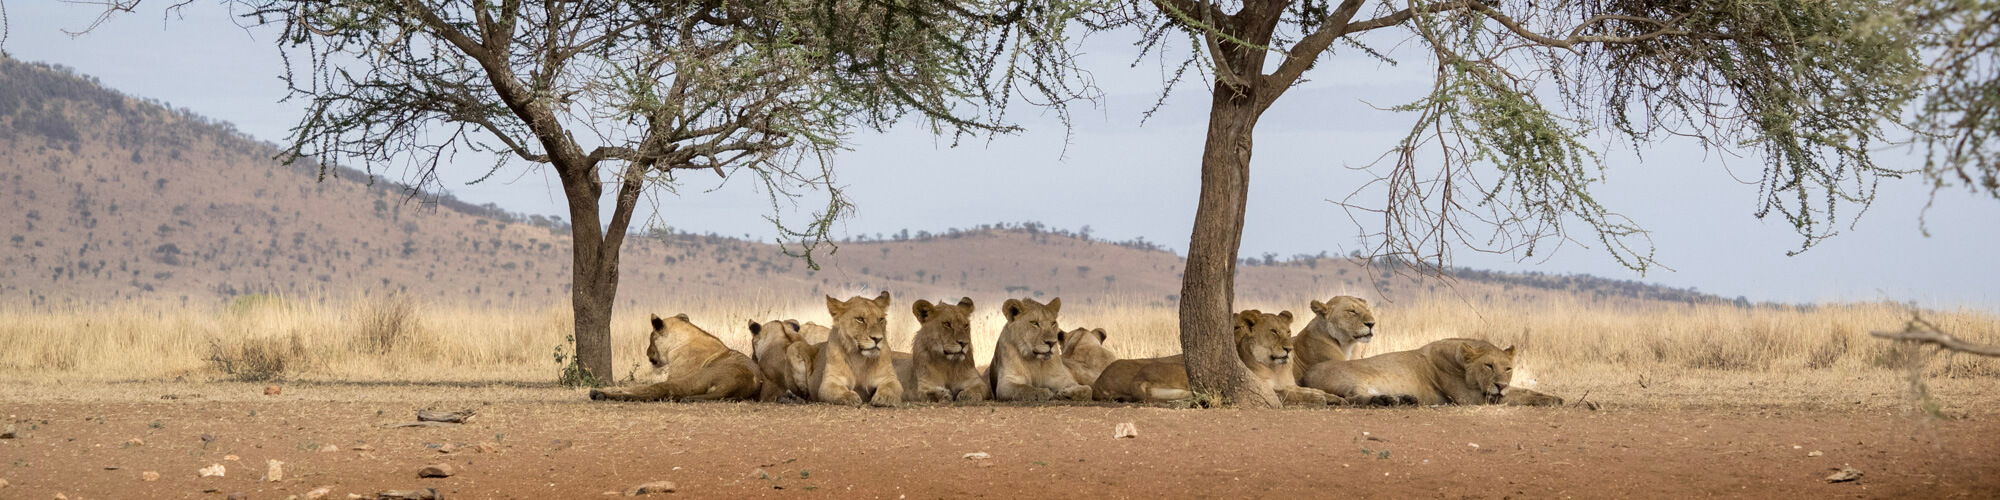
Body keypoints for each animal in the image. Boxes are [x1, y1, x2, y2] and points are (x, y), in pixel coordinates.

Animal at [588, 312, 760, 402]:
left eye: (651, 339)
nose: (647, 353)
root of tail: (742, 382)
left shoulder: (676, 376)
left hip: (691, 380)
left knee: (656, 391)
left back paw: (599, 394)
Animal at [1088, 310, 1336, 404]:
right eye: (1273, 332)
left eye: (1288, 332)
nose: (1288, 349)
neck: (1275, 367)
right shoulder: (1265, 388)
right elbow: (1292, 394)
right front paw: (1317, 397)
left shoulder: (1290, 383)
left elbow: (1307, 389)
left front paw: (1330, 396)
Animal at [1296, 336, 1560, 406]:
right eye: (1488, 366)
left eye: (1508, 369)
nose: (1501, 384)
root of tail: (1305, 375)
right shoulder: (1470, 398)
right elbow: (1516, 396)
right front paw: (1547, 400)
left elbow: (1523, 390)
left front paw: (1554, 397)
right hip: (1351, 380)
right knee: (1354, 398)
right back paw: (1384, 401)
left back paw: (1402, 399)